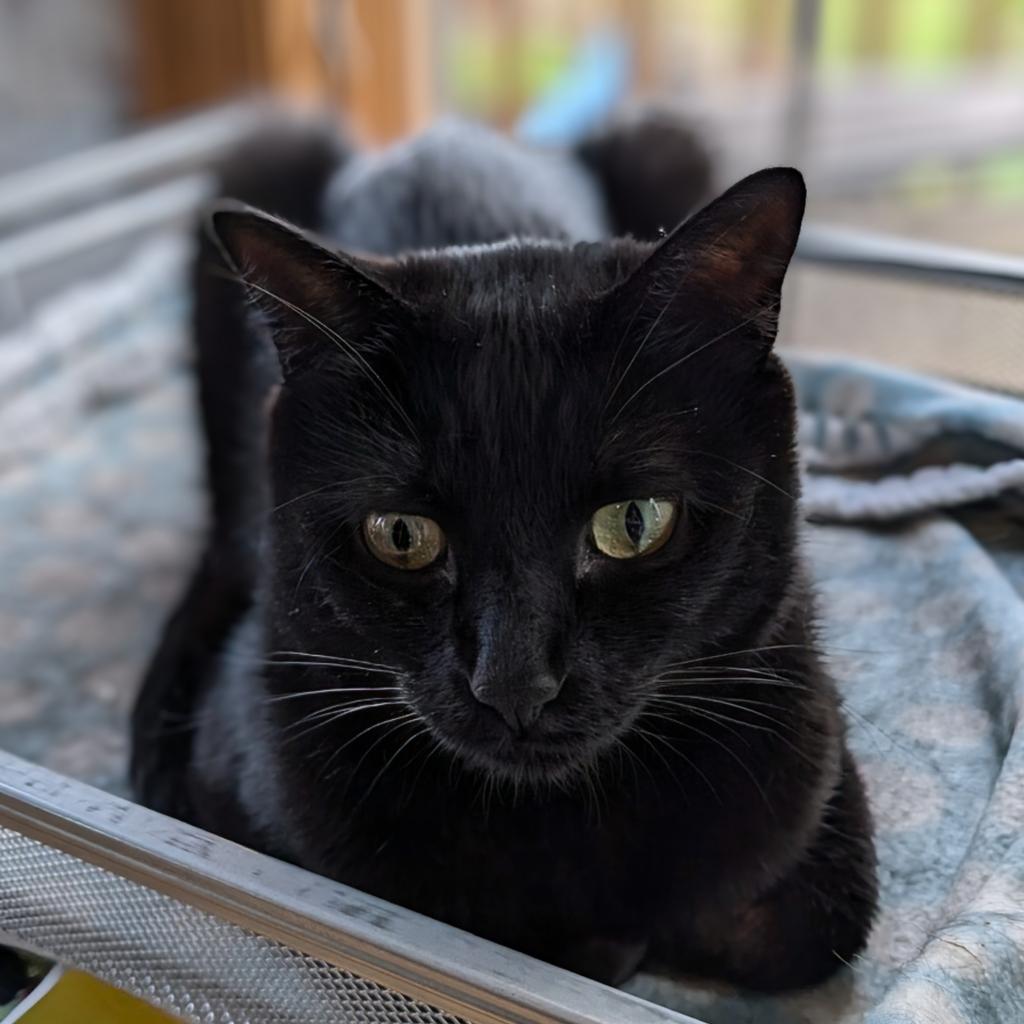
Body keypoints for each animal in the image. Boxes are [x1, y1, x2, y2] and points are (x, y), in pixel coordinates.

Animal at [132, 112, 876, 991]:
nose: (515, 683)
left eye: (635, 522)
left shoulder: (813, 767)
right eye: (402, 535)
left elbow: (792, 928)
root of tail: (446, 132)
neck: (553, 818)